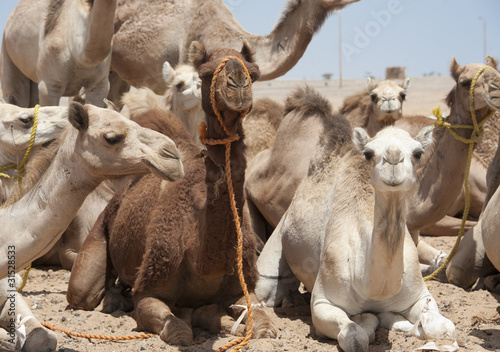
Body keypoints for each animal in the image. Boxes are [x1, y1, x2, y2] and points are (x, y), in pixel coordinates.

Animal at [66, 40, 278, 344]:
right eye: (206, 73)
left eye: (254, 72)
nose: (237, 83)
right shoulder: (150, 289)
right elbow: (178, 330)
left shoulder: (243, 288)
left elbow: (262, 324)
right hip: (97, 235)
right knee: (84, 291)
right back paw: (116, 299)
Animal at [256, 124, 456, 352]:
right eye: (368, 153)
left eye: (418, 153)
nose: (393, 158)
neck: (372, 288)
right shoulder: (322, 303)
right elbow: (354, 336)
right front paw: (369, 323)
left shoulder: (420, 295)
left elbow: (446, 327)